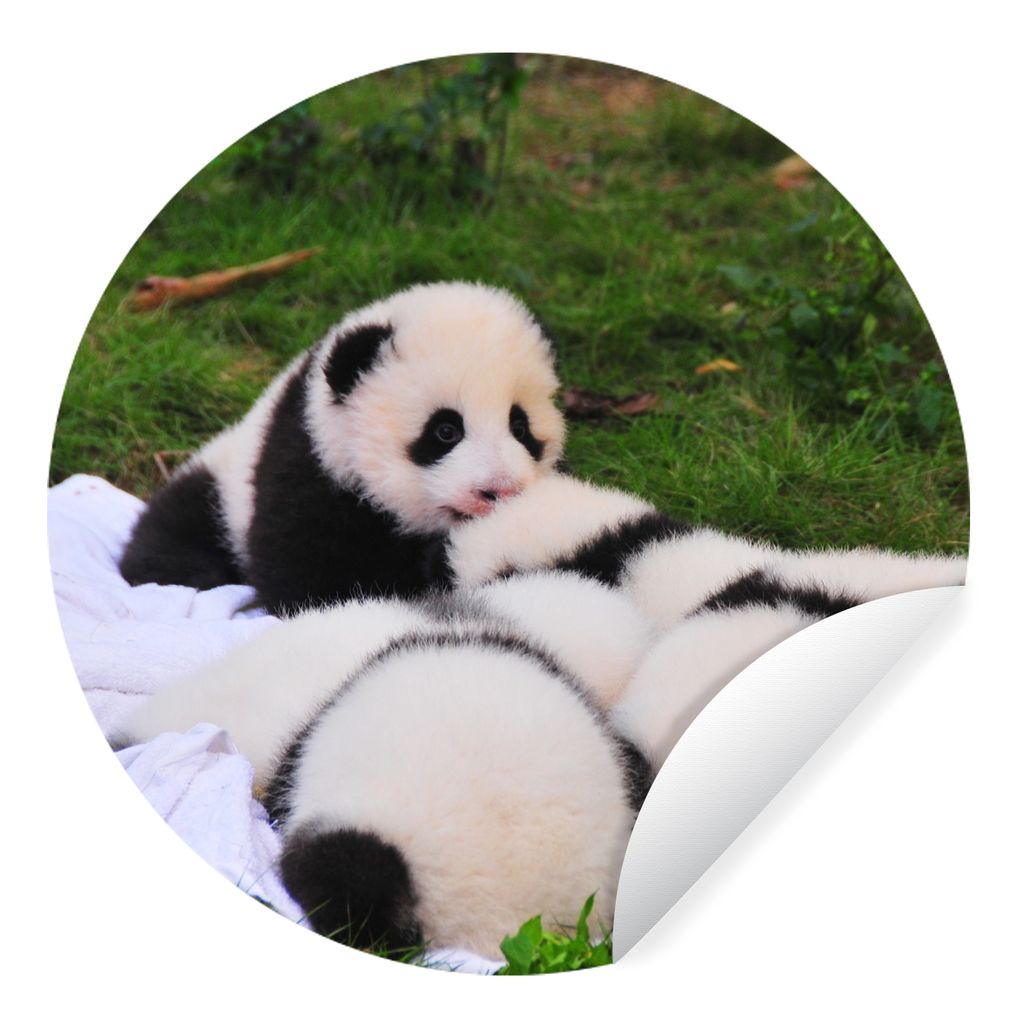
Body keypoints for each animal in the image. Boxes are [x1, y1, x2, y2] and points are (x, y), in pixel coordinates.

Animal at [118, 281, 566, 616]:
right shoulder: (306, 466)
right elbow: (314, 580)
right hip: (221, 492)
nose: (499, 490)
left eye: (520, 426)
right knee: (174, 542)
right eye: (445, 431)